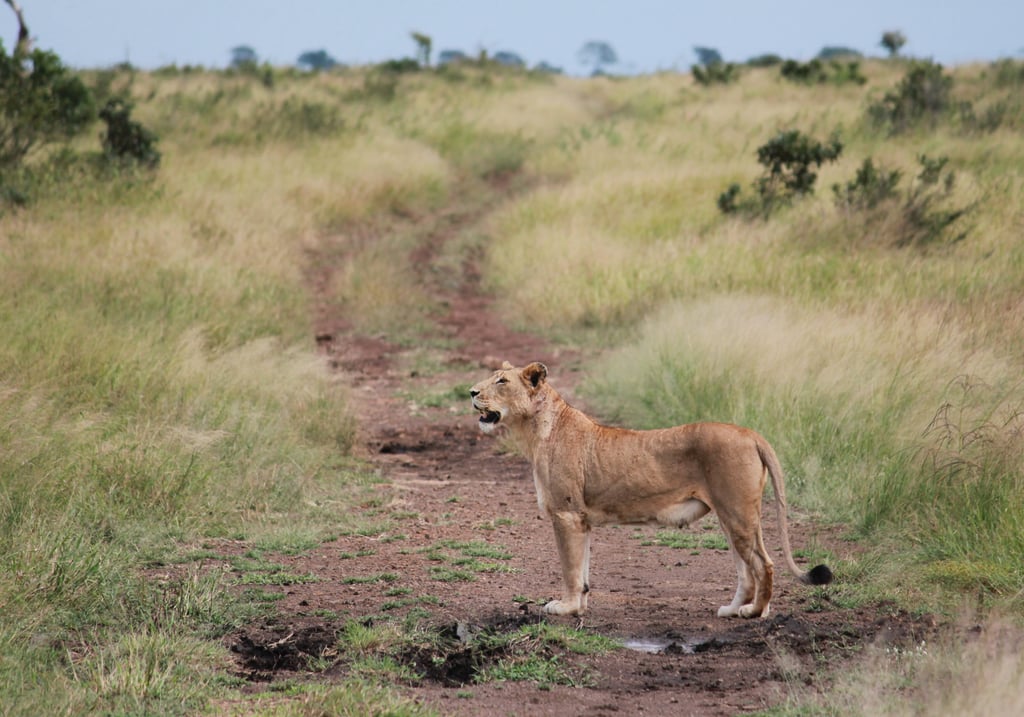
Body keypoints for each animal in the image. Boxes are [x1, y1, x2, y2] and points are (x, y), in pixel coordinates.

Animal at [470, 361, 832, 619]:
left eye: (502, 381)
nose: (471, 392)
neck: (534, 430)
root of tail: (750, 433)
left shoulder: (566, 514)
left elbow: (570, 568)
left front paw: (565, 607)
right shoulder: (581, 520)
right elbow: (582, 570)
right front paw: (580, 607)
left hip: (738, 513)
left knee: (763, 564)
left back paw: (754, 612)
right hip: (731, 516)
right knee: (747, 570)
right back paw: (733, 610)